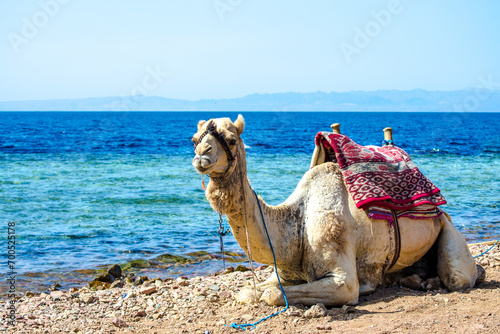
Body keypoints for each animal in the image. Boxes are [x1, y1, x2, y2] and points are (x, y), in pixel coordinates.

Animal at [190, 115, 484, 308]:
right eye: (194, 140)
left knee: (458, 275)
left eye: (230, 139)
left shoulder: (343, 281)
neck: (296, 225)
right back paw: (414, 280)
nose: (202, 156)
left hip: (445, 226)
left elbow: (272, 295)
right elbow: (249, 291)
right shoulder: (284, 273)